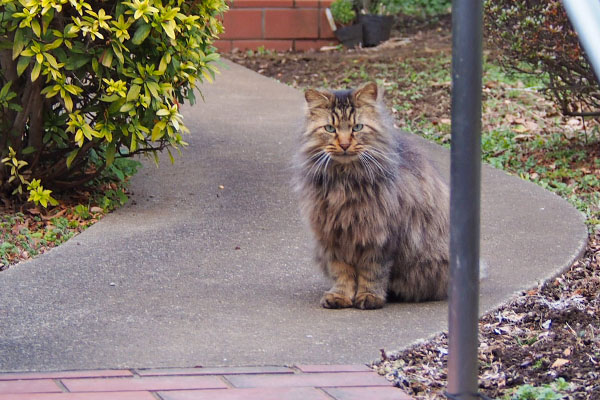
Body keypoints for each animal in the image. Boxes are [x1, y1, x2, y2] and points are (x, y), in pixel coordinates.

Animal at [292, 81, 448, 310]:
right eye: (330, 129)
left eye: (357, 127)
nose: (345, 144)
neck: (345, 181)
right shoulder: (333, 235)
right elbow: (342, 272)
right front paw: (341, 297)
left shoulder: (379, 236)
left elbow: (372, 273)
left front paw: (369, 296)